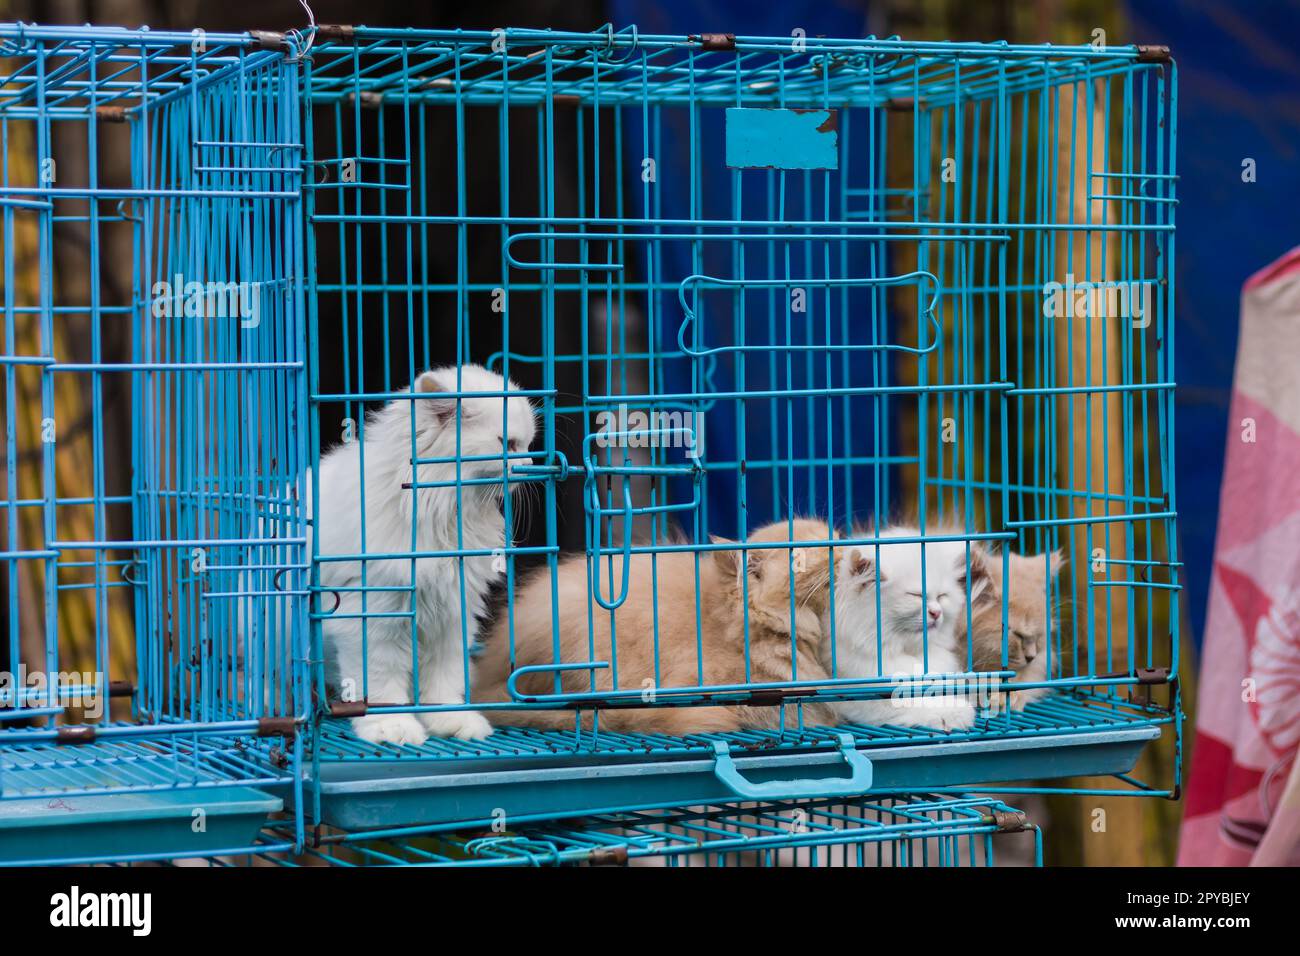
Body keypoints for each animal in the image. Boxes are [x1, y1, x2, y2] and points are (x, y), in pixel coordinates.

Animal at [314, 361, 533, 743]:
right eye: (507, 444)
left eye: (528, 444)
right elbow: (382, 685)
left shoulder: (452, 615)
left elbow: (444, 682)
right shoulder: (374, 617)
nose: (532, 463)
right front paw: (391, 727)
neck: (440, 512)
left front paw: (451, 721)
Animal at [826, 530, 987, 733]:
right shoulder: (856, 696)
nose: (937, 612)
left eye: (942, 597)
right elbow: (914, 701)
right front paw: (956, 713)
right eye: (916, 596)